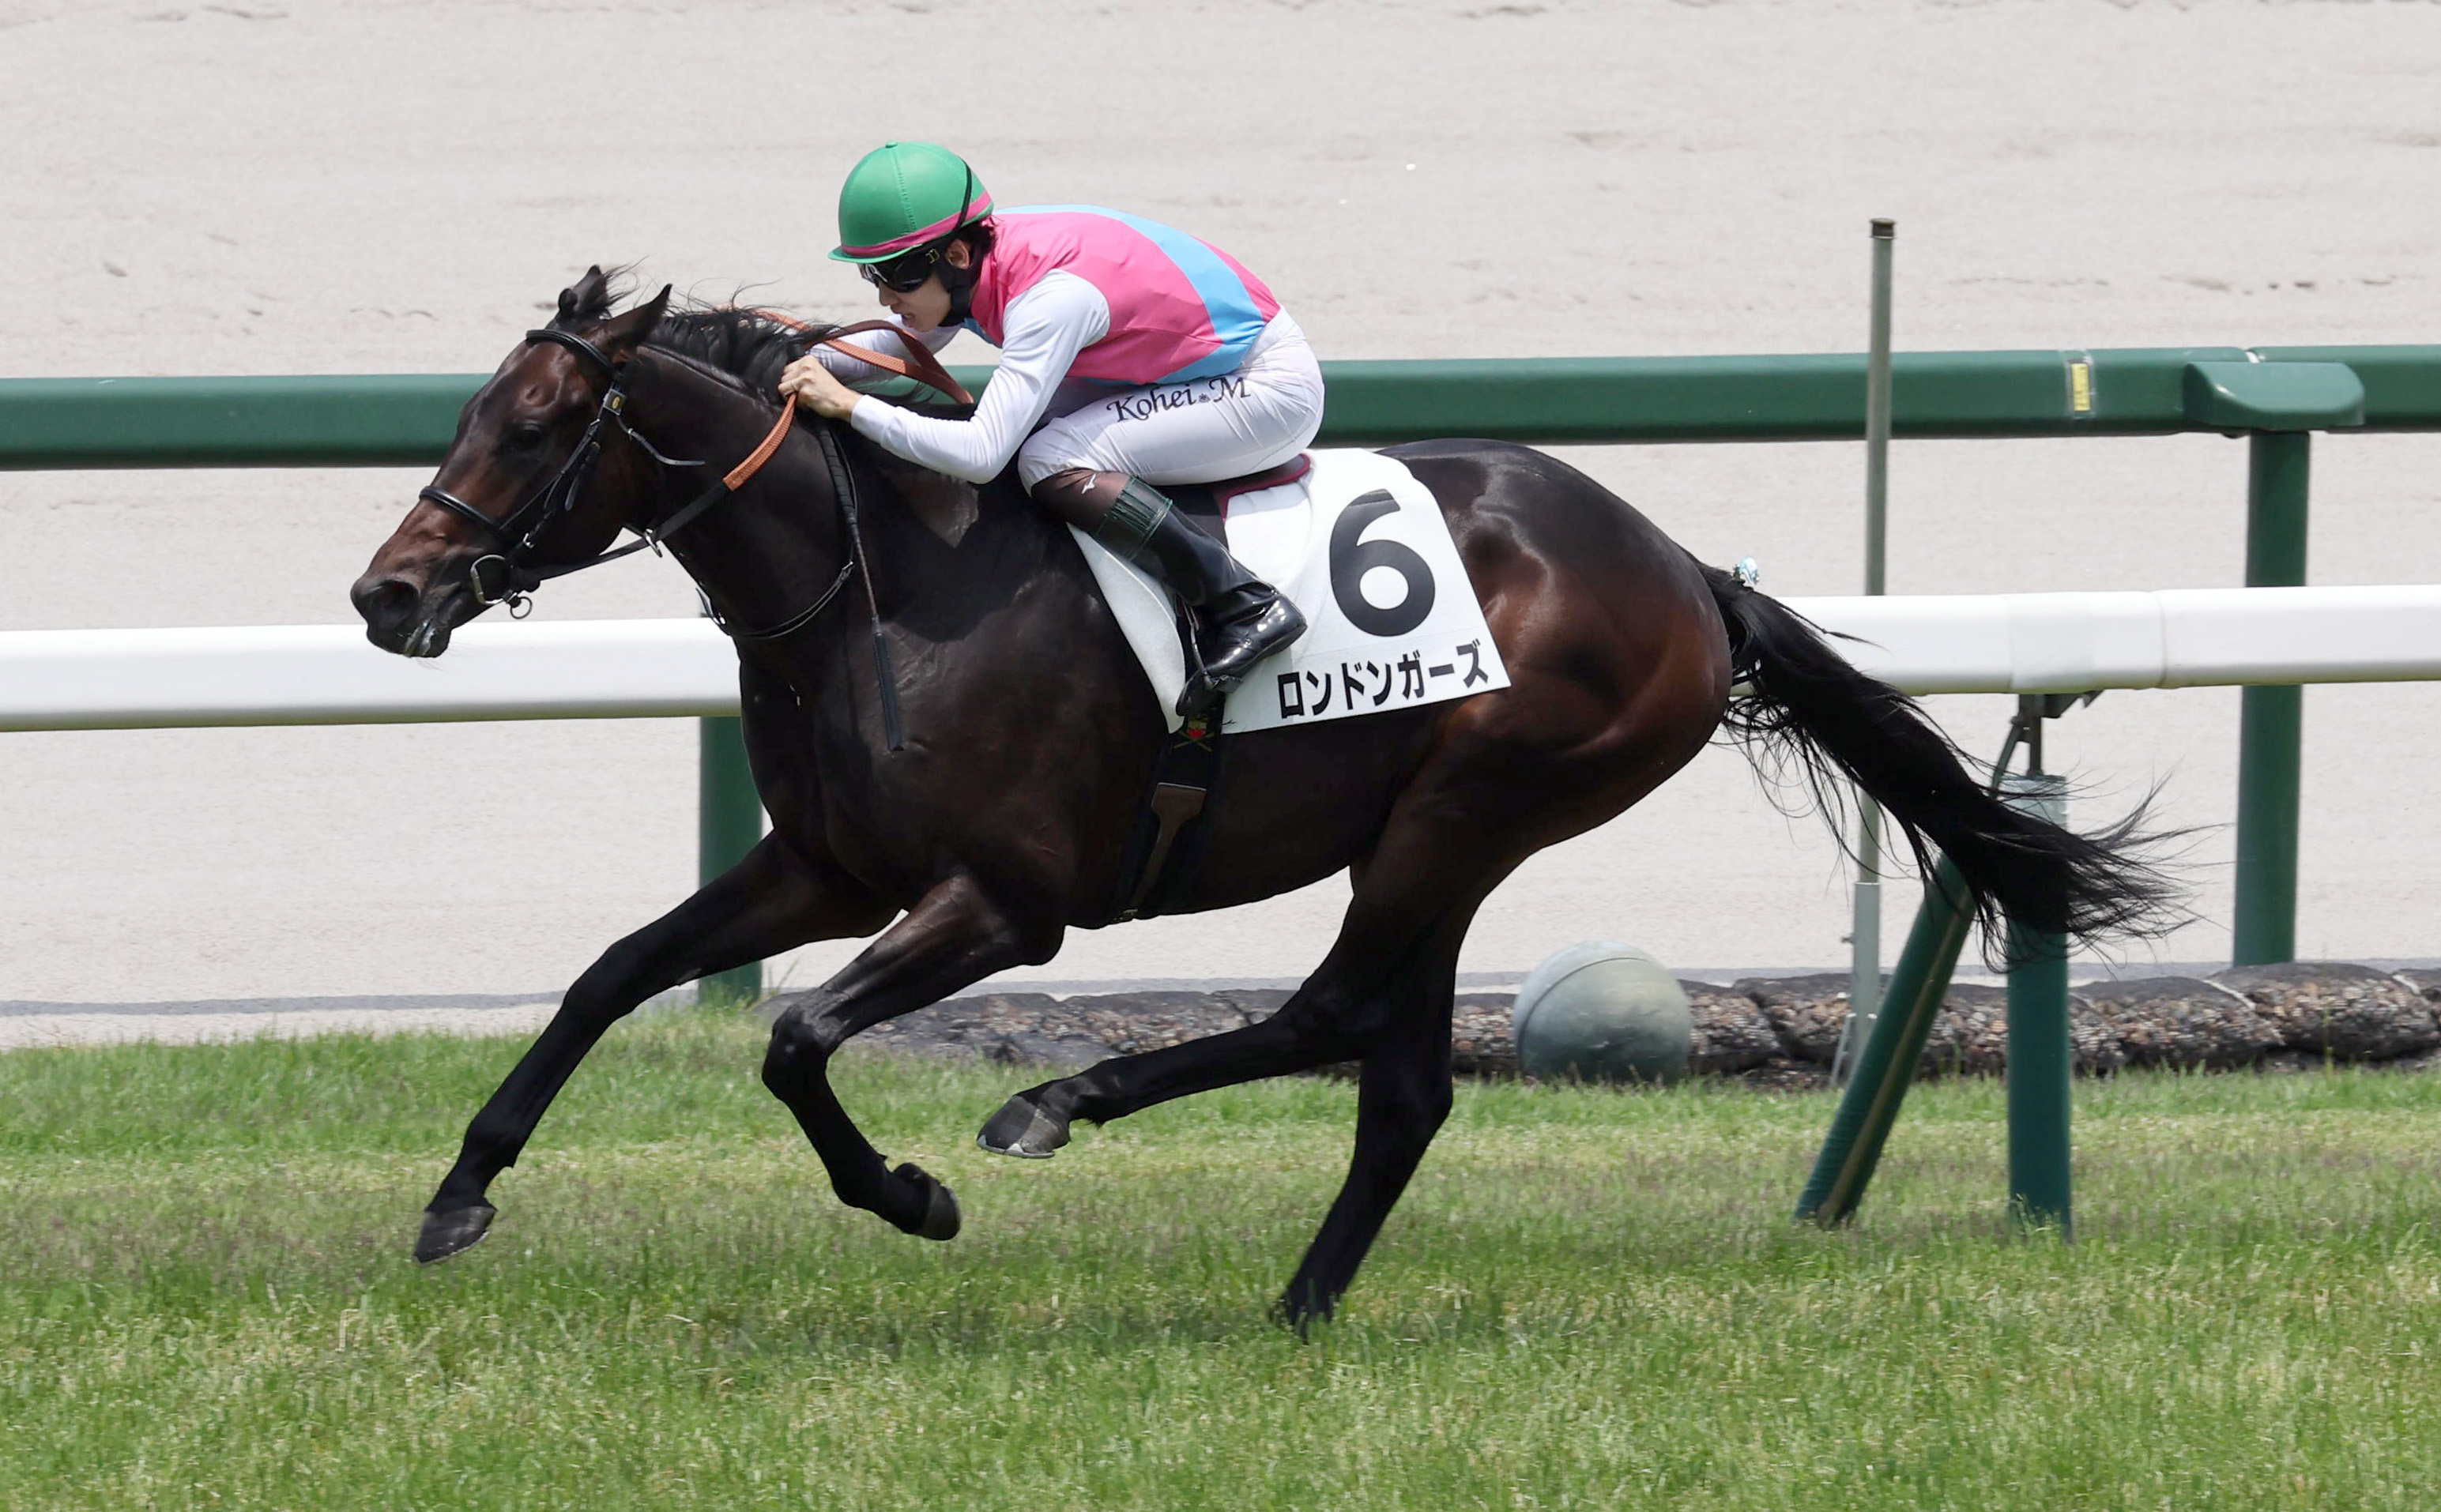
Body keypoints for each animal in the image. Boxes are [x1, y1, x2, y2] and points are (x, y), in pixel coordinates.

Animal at [351, 268, 2172, 1327]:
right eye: (469, 408)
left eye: (536, 423)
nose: (387, 594)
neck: (883, 584)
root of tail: (1687, 573)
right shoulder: (826, 867)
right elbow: (611, 974)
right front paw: (458, 1193)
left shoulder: (1005, 903)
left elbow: (794, 1036)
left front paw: (913, 1192)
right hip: (1447, 835)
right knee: (1402, 1081)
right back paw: (1296, 1301)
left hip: (1469, 808)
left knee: (1332, 1014)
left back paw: (1058, 1105)